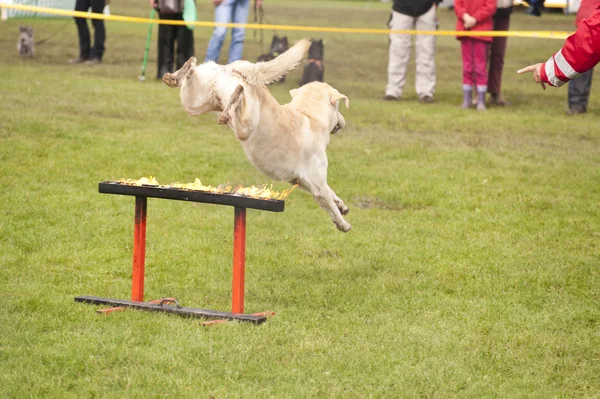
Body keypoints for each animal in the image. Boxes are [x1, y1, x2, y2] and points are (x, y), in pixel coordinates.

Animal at [163, 39, 352, 233]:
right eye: (338, 107)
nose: (343, 121)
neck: (308, 114)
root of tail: (237, 70)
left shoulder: (302, 181)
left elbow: (332, 193)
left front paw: (342, 205)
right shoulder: (316, 185)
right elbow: (329, 202)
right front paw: (343, 224)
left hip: (194, 103)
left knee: (191, 70)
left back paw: (178, 73)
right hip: (247, 123)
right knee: (237, 102)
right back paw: (231, 103)